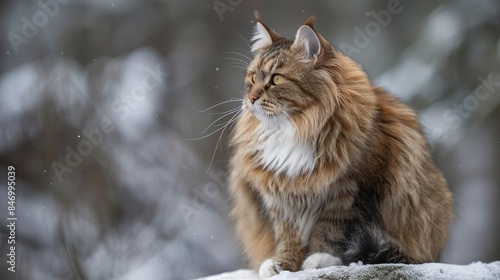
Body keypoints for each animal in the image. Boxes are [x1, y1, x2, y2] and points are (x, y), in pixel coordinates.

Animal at [229, 10, 456, 278]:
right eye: (254, 77)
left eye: (276, 79)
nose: (251, 98)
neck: (295, 128)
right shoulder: (280, 195)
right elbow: (288, 235)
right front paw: (283, 263)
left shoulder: (348, 194)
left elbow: (329, 232)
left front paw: (319, 259)